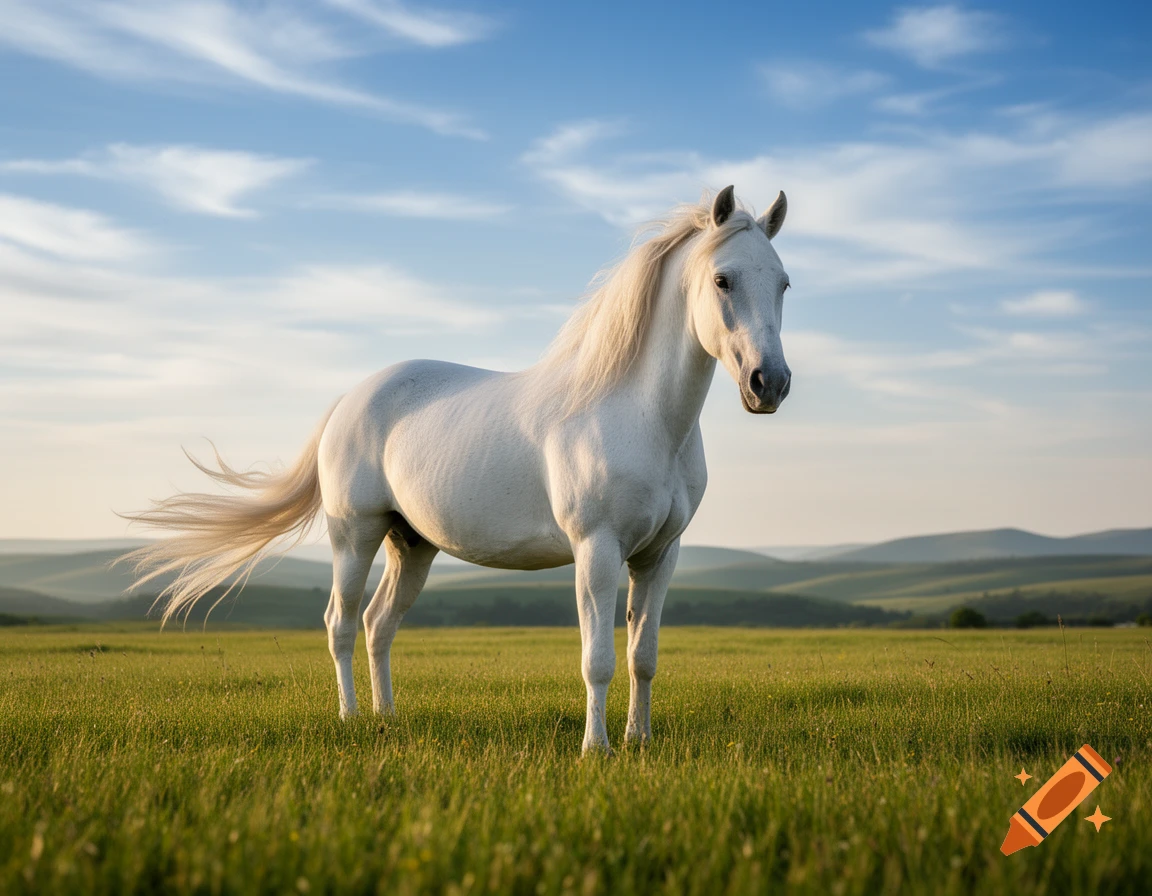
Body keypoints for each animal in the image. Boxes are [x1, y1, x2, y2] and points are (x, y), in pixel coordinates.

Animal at [125, 185, 791, 753]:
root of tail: (350, 398)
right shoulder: (596, 551)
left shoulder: (659, 556)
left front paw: (639, 742)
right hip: (354, 535)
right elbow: (597, 659)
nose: (771, 384)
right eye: (723, 279)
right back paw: (349, 718)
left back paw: (386, 718)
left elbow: (642, 657)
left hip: (411, 544)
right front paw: (595, 749)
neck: (639, 415)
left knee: (378, 624)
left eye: (784, 283)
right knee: (341, 622)